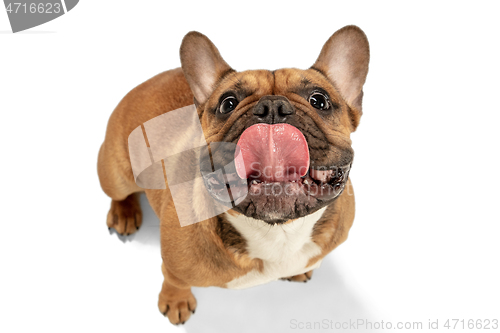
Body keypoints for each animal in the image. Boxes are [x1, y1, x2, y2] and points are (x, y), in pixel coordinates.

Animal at [97, 26, 370, 324]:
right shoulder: (174, 264)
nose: (272, 107)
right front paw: (175, 301)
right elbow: (173, 278)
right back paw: (124, 214)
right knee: (119, 193)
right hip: (116, 174)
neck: (278, 233)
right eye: (228, 103)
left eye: (319, 100)